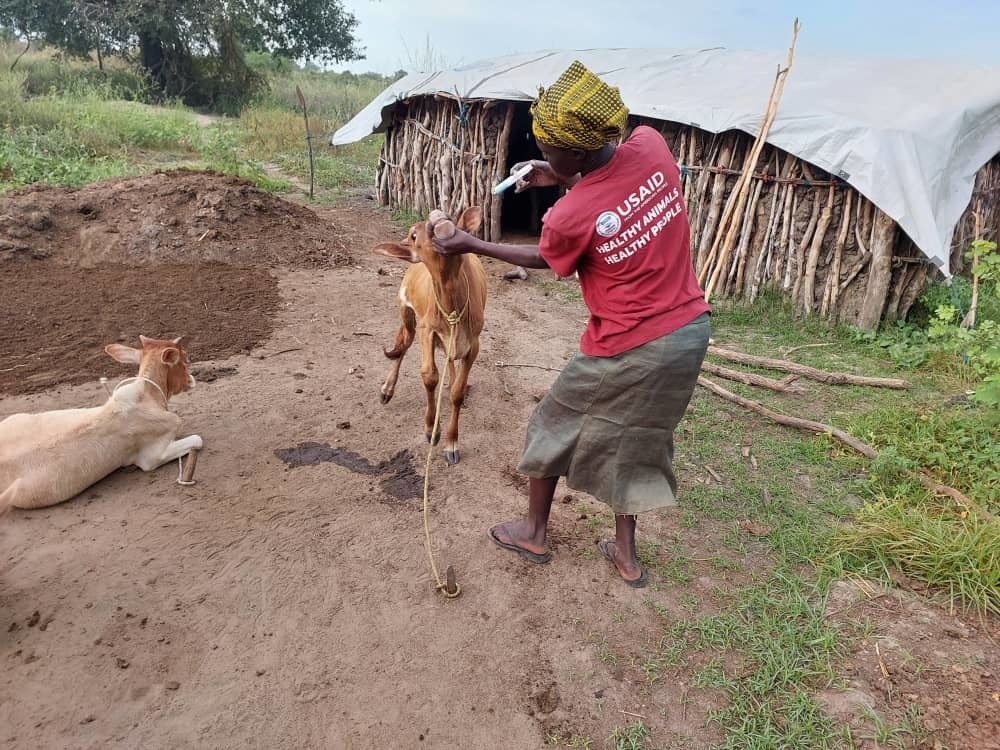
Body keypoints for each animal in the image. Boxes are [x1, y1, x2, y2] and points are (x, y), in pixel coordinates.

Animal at [372, 206, 488, 464]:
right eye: (413, 236)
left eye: (449, 217)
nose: (433, 223)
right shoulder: (427, 330)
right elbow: (429, 376)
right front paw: (430, 429)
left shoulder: (473, 343)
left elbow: (456, 393)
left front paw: (451, 441)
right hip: (406, 313)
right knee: (404, 345)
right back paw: (387, 389)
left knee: (448, 360)